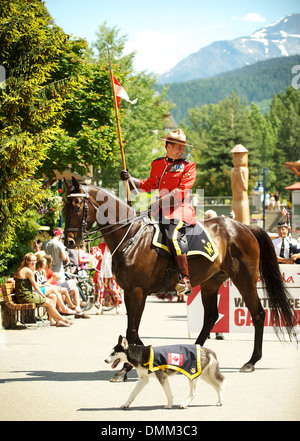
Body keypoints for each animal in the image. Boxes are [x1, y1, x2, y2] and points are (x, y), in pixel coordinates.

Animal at [64, 177, 296, 380]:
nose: (69, 241)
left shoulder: (137, 291)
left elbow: (131, 332)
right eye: (64, 205)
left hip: (244, 279)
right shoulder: (130, 292)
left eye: (76, 205)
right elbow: (133, 332)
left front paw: (125, 368)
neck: (132, 236)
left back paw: (251, 361)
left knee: (258, 314)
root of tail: (245, 226)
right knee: (210, 317)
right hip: (211, 283)